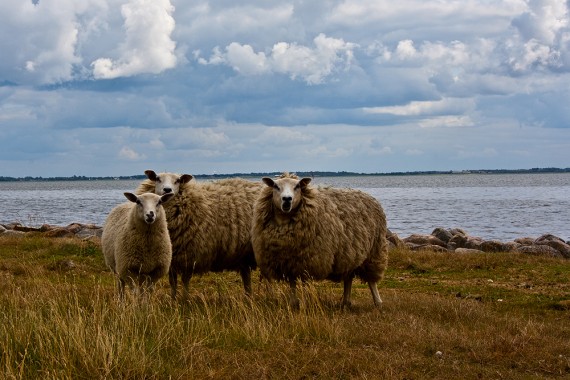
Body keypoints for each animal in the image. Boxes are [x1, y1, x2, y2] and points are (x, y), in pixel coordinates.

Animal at [136, 171, 262, 300]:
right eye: (157, 178)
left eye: (178, 180)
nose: (167, 190)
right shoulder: (173, 258)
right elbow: (173, 281)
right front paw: (173, 299)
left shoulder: (189, 255)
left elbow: (185, 280)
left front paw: (185, 299)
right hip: (245, 255)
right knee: (246, 276)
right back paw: (248, 296)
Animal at [252, 172, 388, 308]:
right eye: (276, 186)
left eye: (297, 186)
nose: (287, 199)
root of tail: (367, 195)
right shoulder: (289, 261)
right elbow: (292, 283)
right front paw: (293, 303)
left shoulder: (307, 261)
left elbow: (305, 283)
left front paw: (305, 303)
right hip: (349, 254)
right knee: (348, 277)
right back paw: (346, 302)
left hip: (374, 251)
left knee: (371, 281)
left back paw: (378, 302)